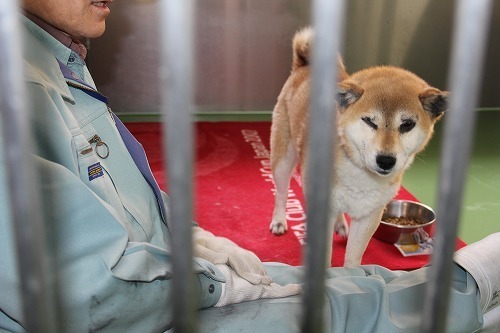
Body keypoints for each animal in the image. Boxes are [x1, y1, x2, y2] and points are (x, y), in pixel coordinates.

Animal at [272, 27, 448, 268]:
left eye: (407, 125)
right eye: (369, 121)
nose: (386, 160)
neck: (360, 173)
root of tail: (304, 66)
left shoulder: (369, 215)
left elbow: (354, 258)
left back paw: (340, 224)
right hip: (283, 159)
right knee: (281, 192)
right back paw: (279, 220)